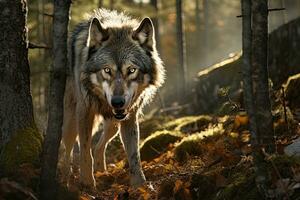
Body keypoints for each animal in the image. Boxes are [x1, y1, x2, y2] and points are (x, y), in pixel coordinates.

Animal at [60, 8, 165, 188]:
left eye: (131, 70)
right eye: (107, 70)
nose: (117, 102)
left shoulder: (130, 116)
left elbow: (134, 154)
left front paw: (140, 185)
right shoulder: (85, 112)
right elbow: (85, 151)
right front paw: (87, 183)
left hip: (113, 125)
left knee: (98, 146)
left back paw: (101, 171)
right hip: (71, 121)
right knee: (68, 148)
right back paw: (65, 178)